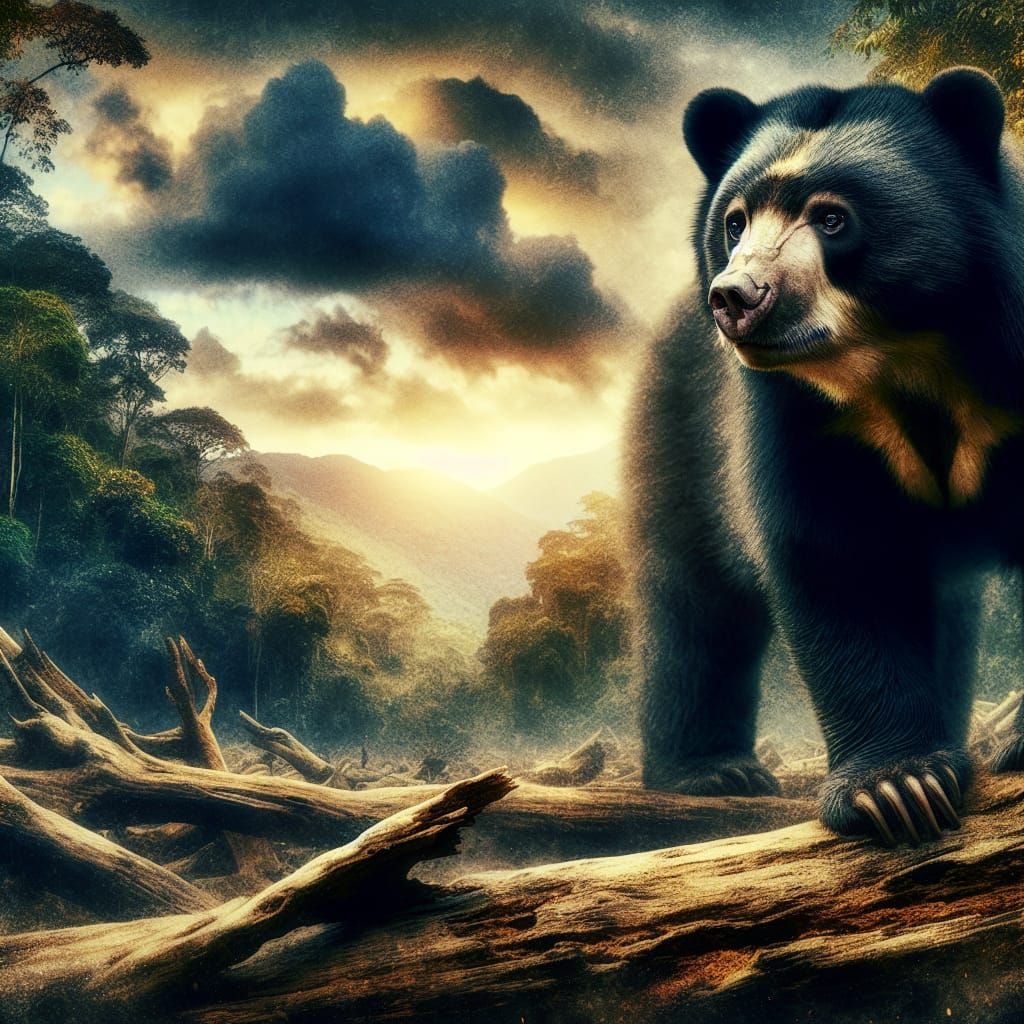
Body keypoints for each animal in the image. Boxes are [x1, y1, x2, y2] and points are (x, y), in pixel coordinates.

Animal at [624, 67, 1024, 846]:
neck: (910, 356)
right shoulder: (799, 418)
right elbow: (835, 554)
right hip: (679, 439)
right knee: (694, 607)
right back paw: (710, 771)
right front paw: (898, 787)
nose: (736, 297)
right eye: (736, 221)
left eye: (833, 219)